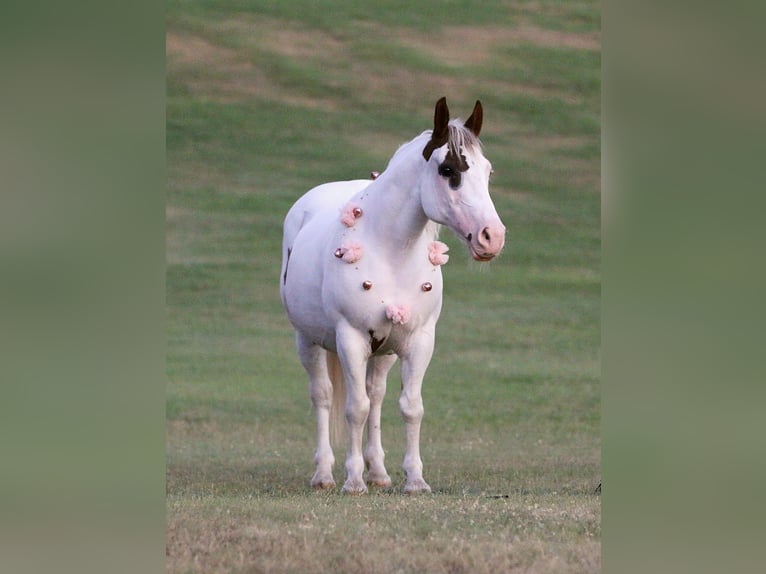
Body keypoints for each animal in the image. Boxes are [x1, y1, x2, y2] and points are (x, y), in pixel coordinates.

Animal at [280, 97, 506, 494]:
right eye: (448, 169)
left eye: (488, 172)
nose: (492, 236)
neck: (390, 252)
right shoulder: (350, 339)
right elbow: (354, 409)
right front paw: (353, 481)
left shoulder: (419, 340)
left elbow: (409, 407)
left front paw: (414, 479)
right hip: (308, 341)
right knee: (323, 396)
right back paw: (324, 474)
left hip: (383, 351)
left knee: (377, 395)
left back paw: (379, 472)